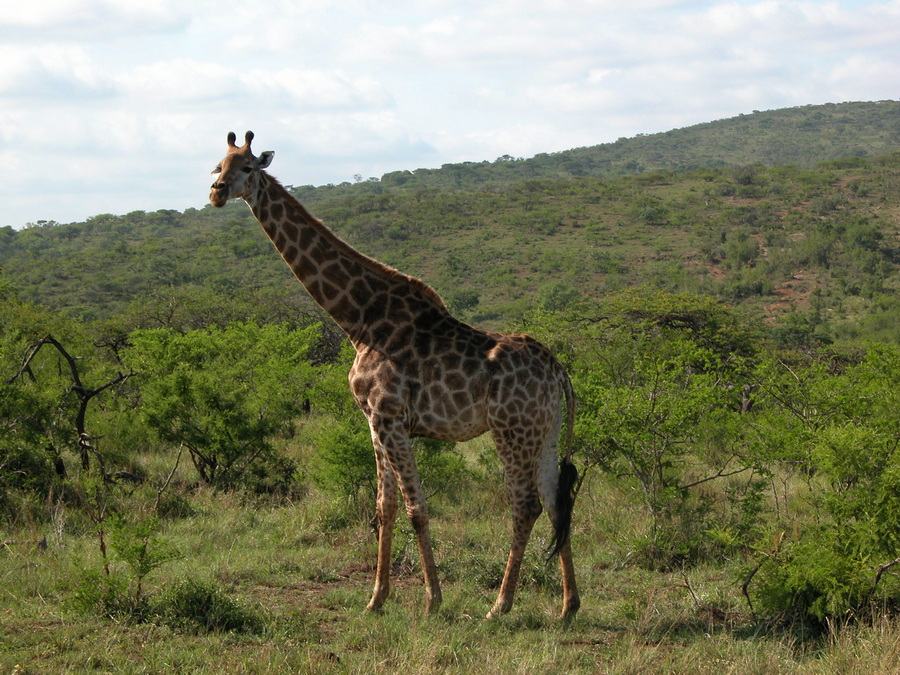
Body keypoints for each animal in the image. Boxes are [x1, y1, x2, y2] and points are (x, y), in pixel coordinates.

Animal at [208, 129, 580, 620]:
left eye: (247, 168)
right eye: (218, 165)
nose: (215, 193)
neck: (360, 320)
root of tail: (558, 370)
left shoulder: (390, 417)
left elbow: (415, 508)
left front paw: (433, 600)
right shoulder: (374, 419)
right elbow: (383, 507)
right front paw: (376, 599)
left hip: (511, 430)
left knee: (526, 506)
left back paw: (499, 606)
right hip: (546, 430)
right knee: (557, 502)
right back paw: (569, 606)